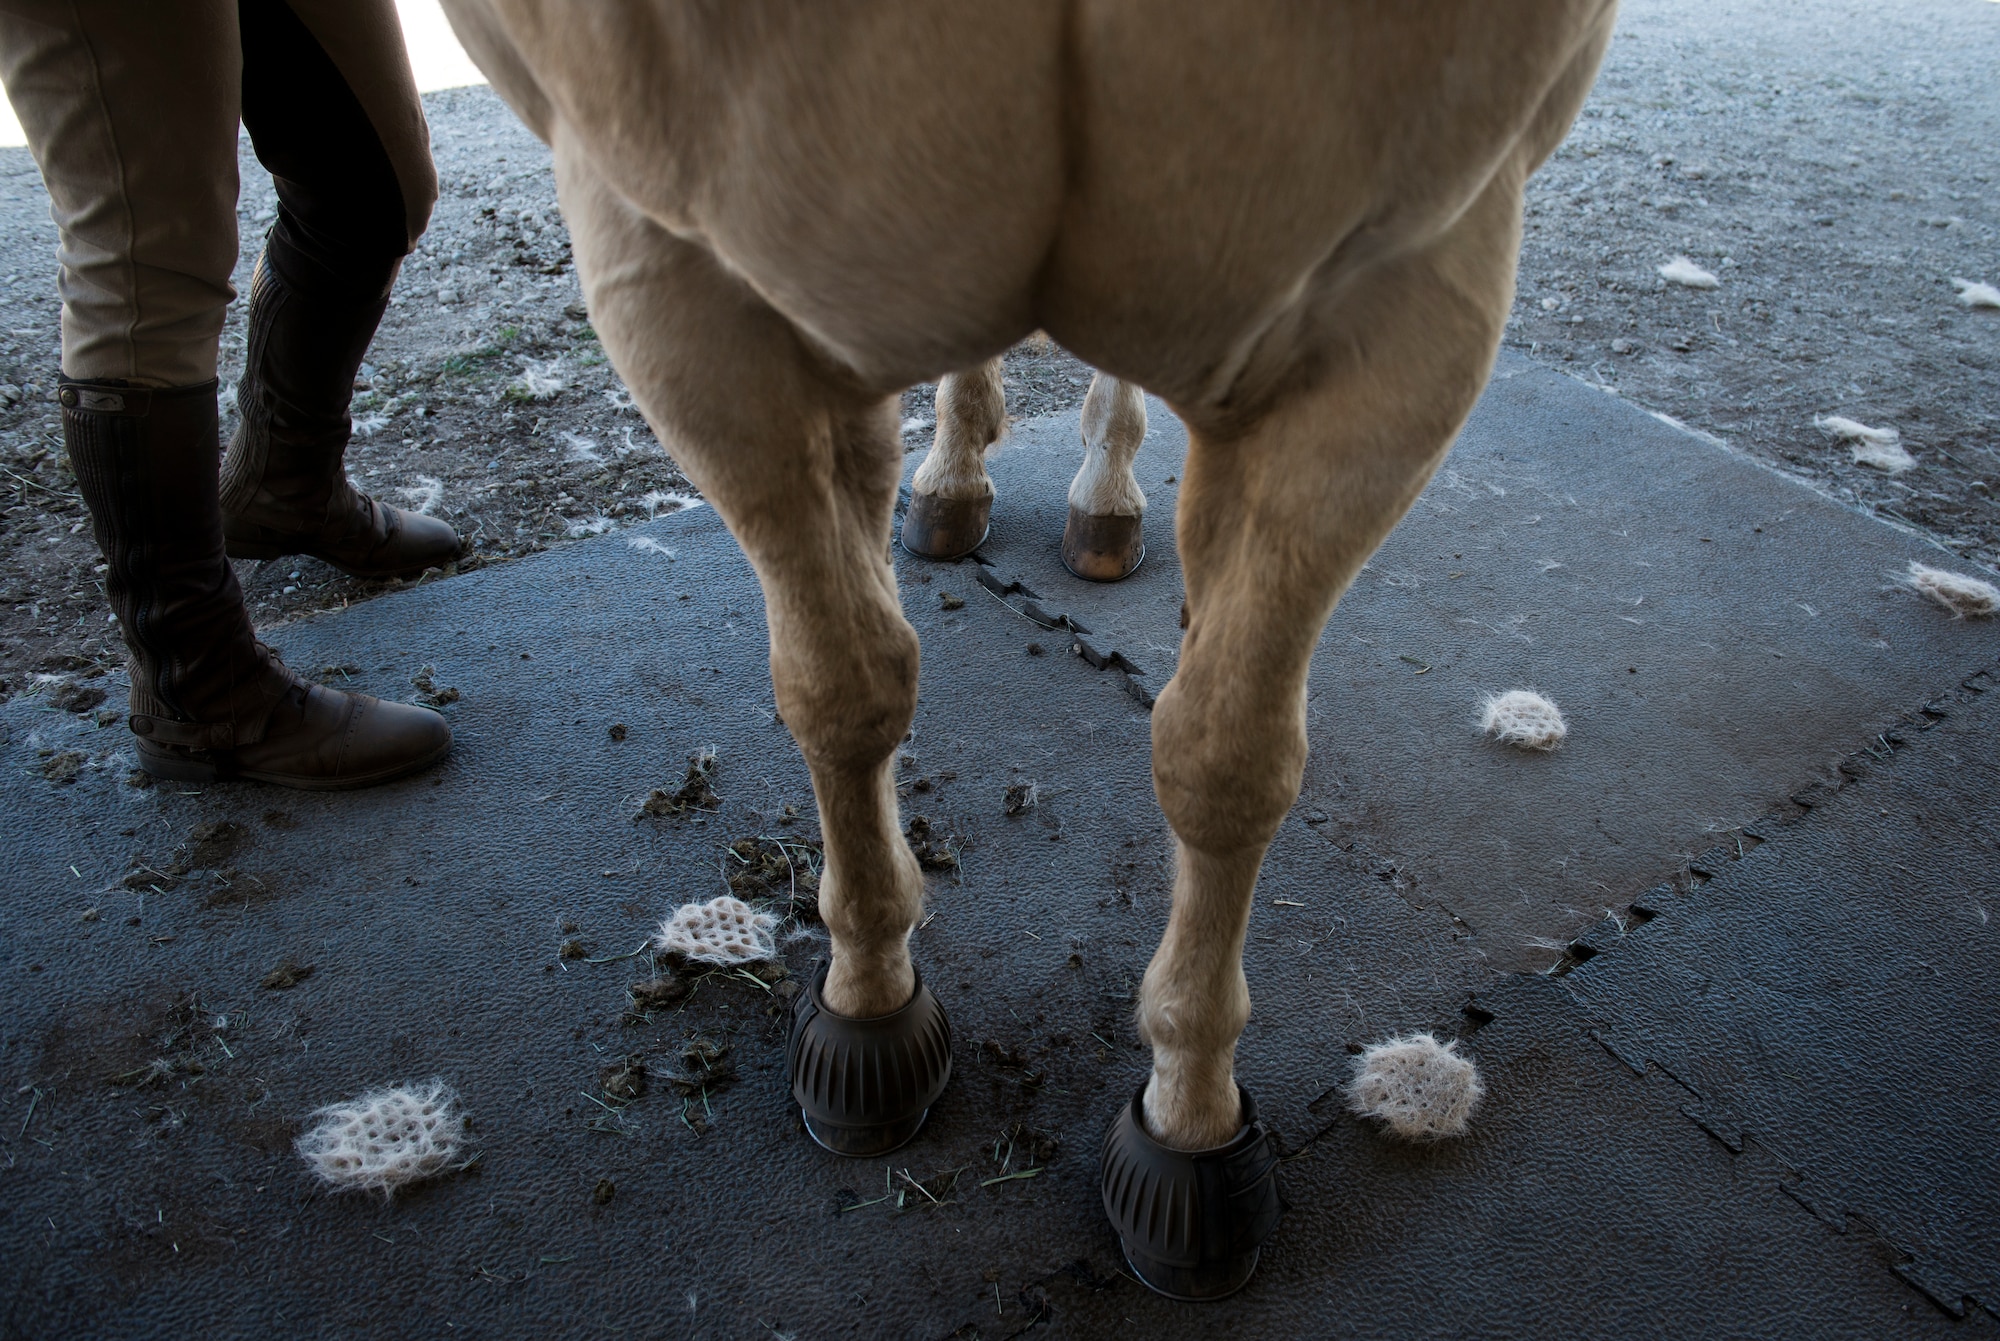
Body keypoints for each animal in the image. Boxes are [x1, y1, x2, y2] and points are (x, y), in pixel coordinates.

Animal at [450, 0, 1608, 1304]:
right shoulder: (691, 290)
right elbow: (843, 686)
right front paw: (866, 1006)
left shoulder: (1401, 318)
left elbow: (1225, 764)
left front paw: (1189, 1128)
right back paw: (950, 484)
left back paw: (1101, 499)